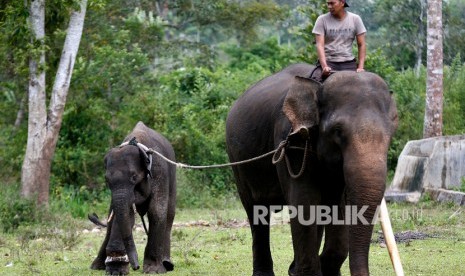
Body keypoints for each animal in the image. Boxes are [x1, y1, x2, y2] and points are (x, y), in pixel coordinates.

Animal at [90, 122, 176, 274]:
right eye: (107, 181)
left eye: (134, 177)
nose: (136, 266)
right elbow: (124, 213)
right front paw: (116, 269)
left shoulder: (160, 172)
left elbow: (156, 211)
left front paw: (153, 271)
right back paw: (97, 266)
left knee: (170, 213)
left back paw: (167, 264)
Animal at [225, 63, 396, 274]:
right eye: (337, 131)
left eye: (391, 132)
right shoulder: (291, 142)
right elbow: (304, 202)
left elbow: (338, 204)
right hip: (237, 161)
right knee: (255, 209)